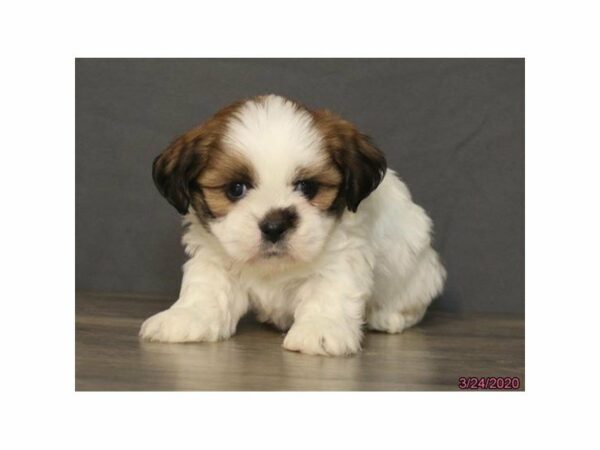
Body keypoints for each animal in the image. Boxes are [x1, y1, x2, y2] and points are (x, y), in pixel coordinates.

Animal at [137, 95, 446, 356]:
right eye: (236, 189)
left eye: (307, 187)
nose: (274, 225)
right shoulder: (214, 255)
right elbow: (208, 287)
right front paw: (187, 316)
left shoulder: (341, 255)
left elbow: (330, 290)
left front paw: (321, 329)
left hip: (416, 270)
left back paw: (388, 317)